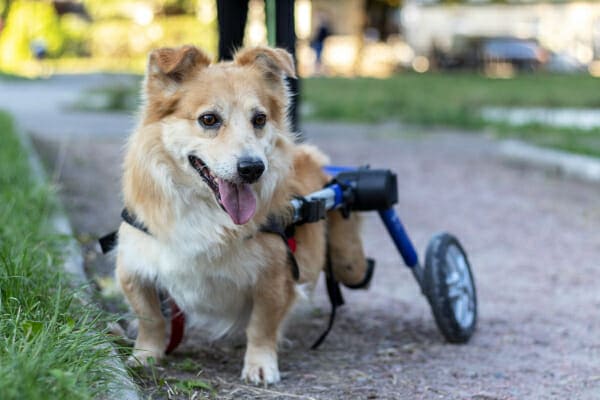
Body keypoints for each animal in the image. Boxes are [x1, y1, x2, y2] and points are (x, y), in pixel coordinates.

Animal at [116, 44, 370, 384]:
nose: (252, 168)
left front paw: (260, 364)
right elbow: (150, 318)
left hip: (348, 261)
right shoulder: (133, 268)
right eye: (209, 119)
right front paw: (145, 355)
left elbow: (261, 327)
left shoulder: (274, 277)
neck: (208, 211)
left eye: (259, 119)